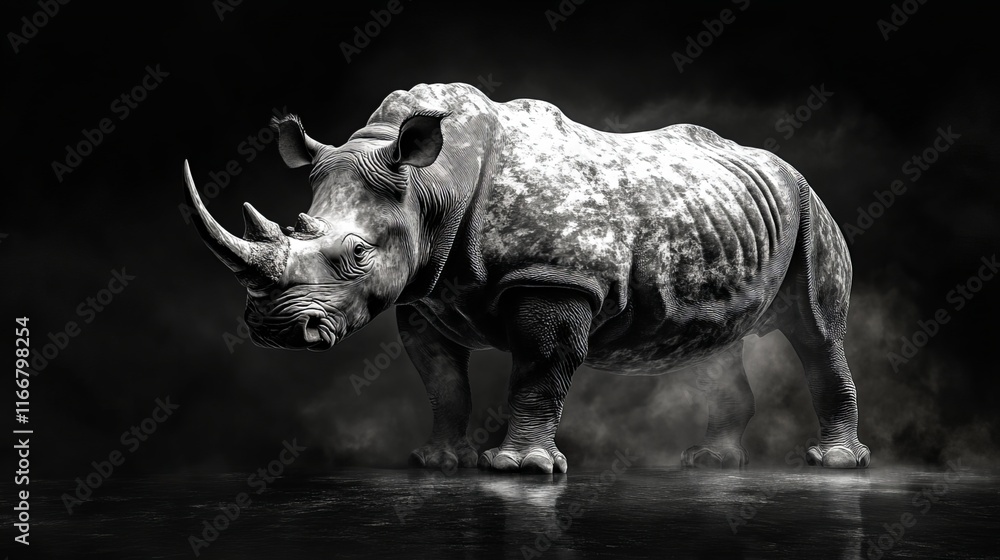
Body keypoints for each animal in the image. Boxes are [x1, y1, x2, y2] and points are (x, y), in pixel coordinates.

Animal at [183, 82, 870, 473]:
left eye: (356, 254)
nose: (273, 328)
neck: (432, 183)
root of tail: (789, 169)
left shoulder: (556, 279)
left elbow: (540, 370)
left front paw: (520, 469)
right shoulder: (425, 294)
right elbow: (442, 382)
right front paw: (436, 462)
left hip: (811, 209)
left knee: (816, 332)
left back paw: (834, 464)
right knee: (712, 342)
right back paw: (710, 465)